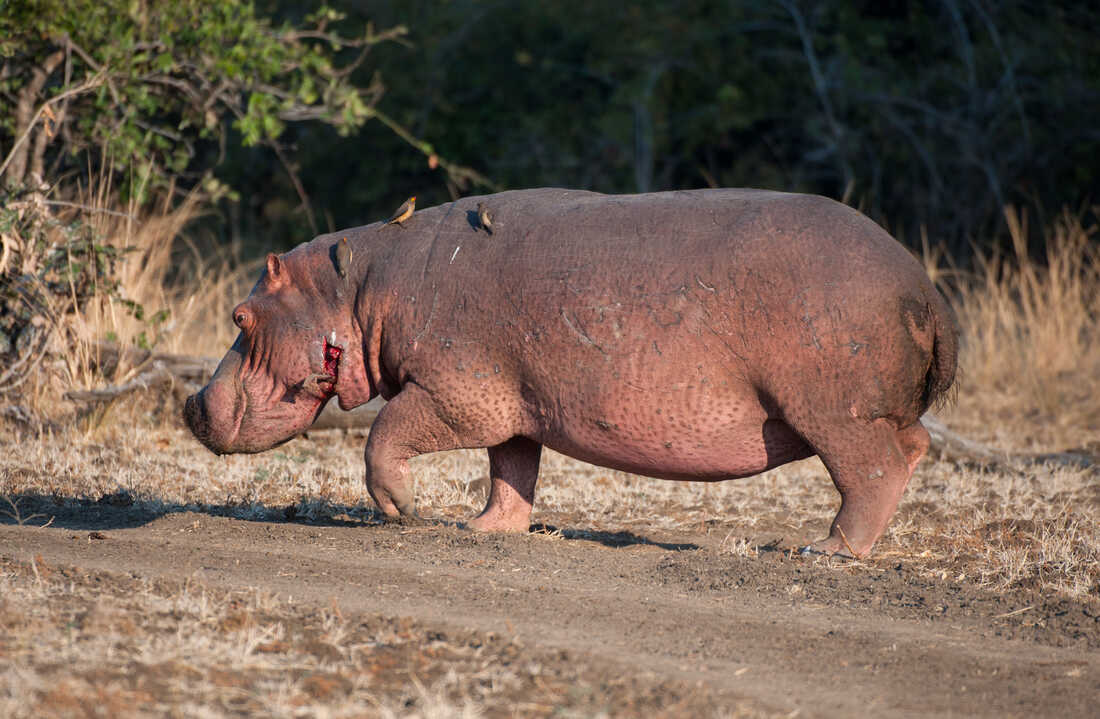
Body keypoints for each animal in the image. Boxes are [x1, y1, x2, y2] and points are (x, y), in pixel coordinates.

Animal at [184, 186, 959, 558]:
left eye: (240, 316)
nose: (191, 404)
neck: (358, 289)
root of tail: (923, 285)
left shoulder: (456, 393)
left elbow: (384, 437)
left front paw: (409, 513)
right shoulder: (512, 405)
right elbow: (511, 470)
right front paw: (483, 529)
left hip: (834, 411)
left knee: (873, 469)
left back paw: (820, 550)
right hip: (866, 410)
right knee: (912, 447)